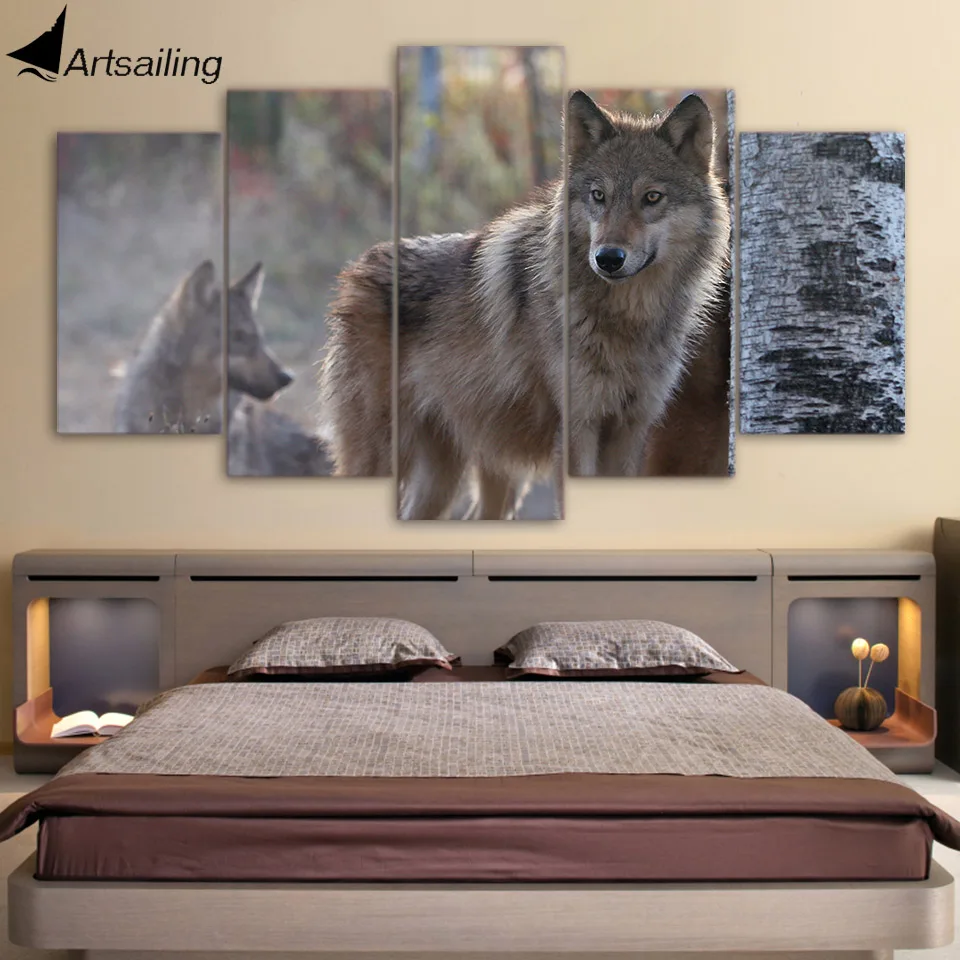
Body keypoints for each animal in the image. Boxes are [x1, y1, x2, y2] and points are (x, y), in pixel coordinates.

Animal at [318, 90, 729, 518]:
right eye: (598, 196)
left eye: (651, 198)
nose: (608, 258)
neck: (628, 320)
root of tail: (357, 267)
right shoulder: (578, 431)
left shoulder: (629, 432)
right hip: (387, 460)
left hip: (446, 479)